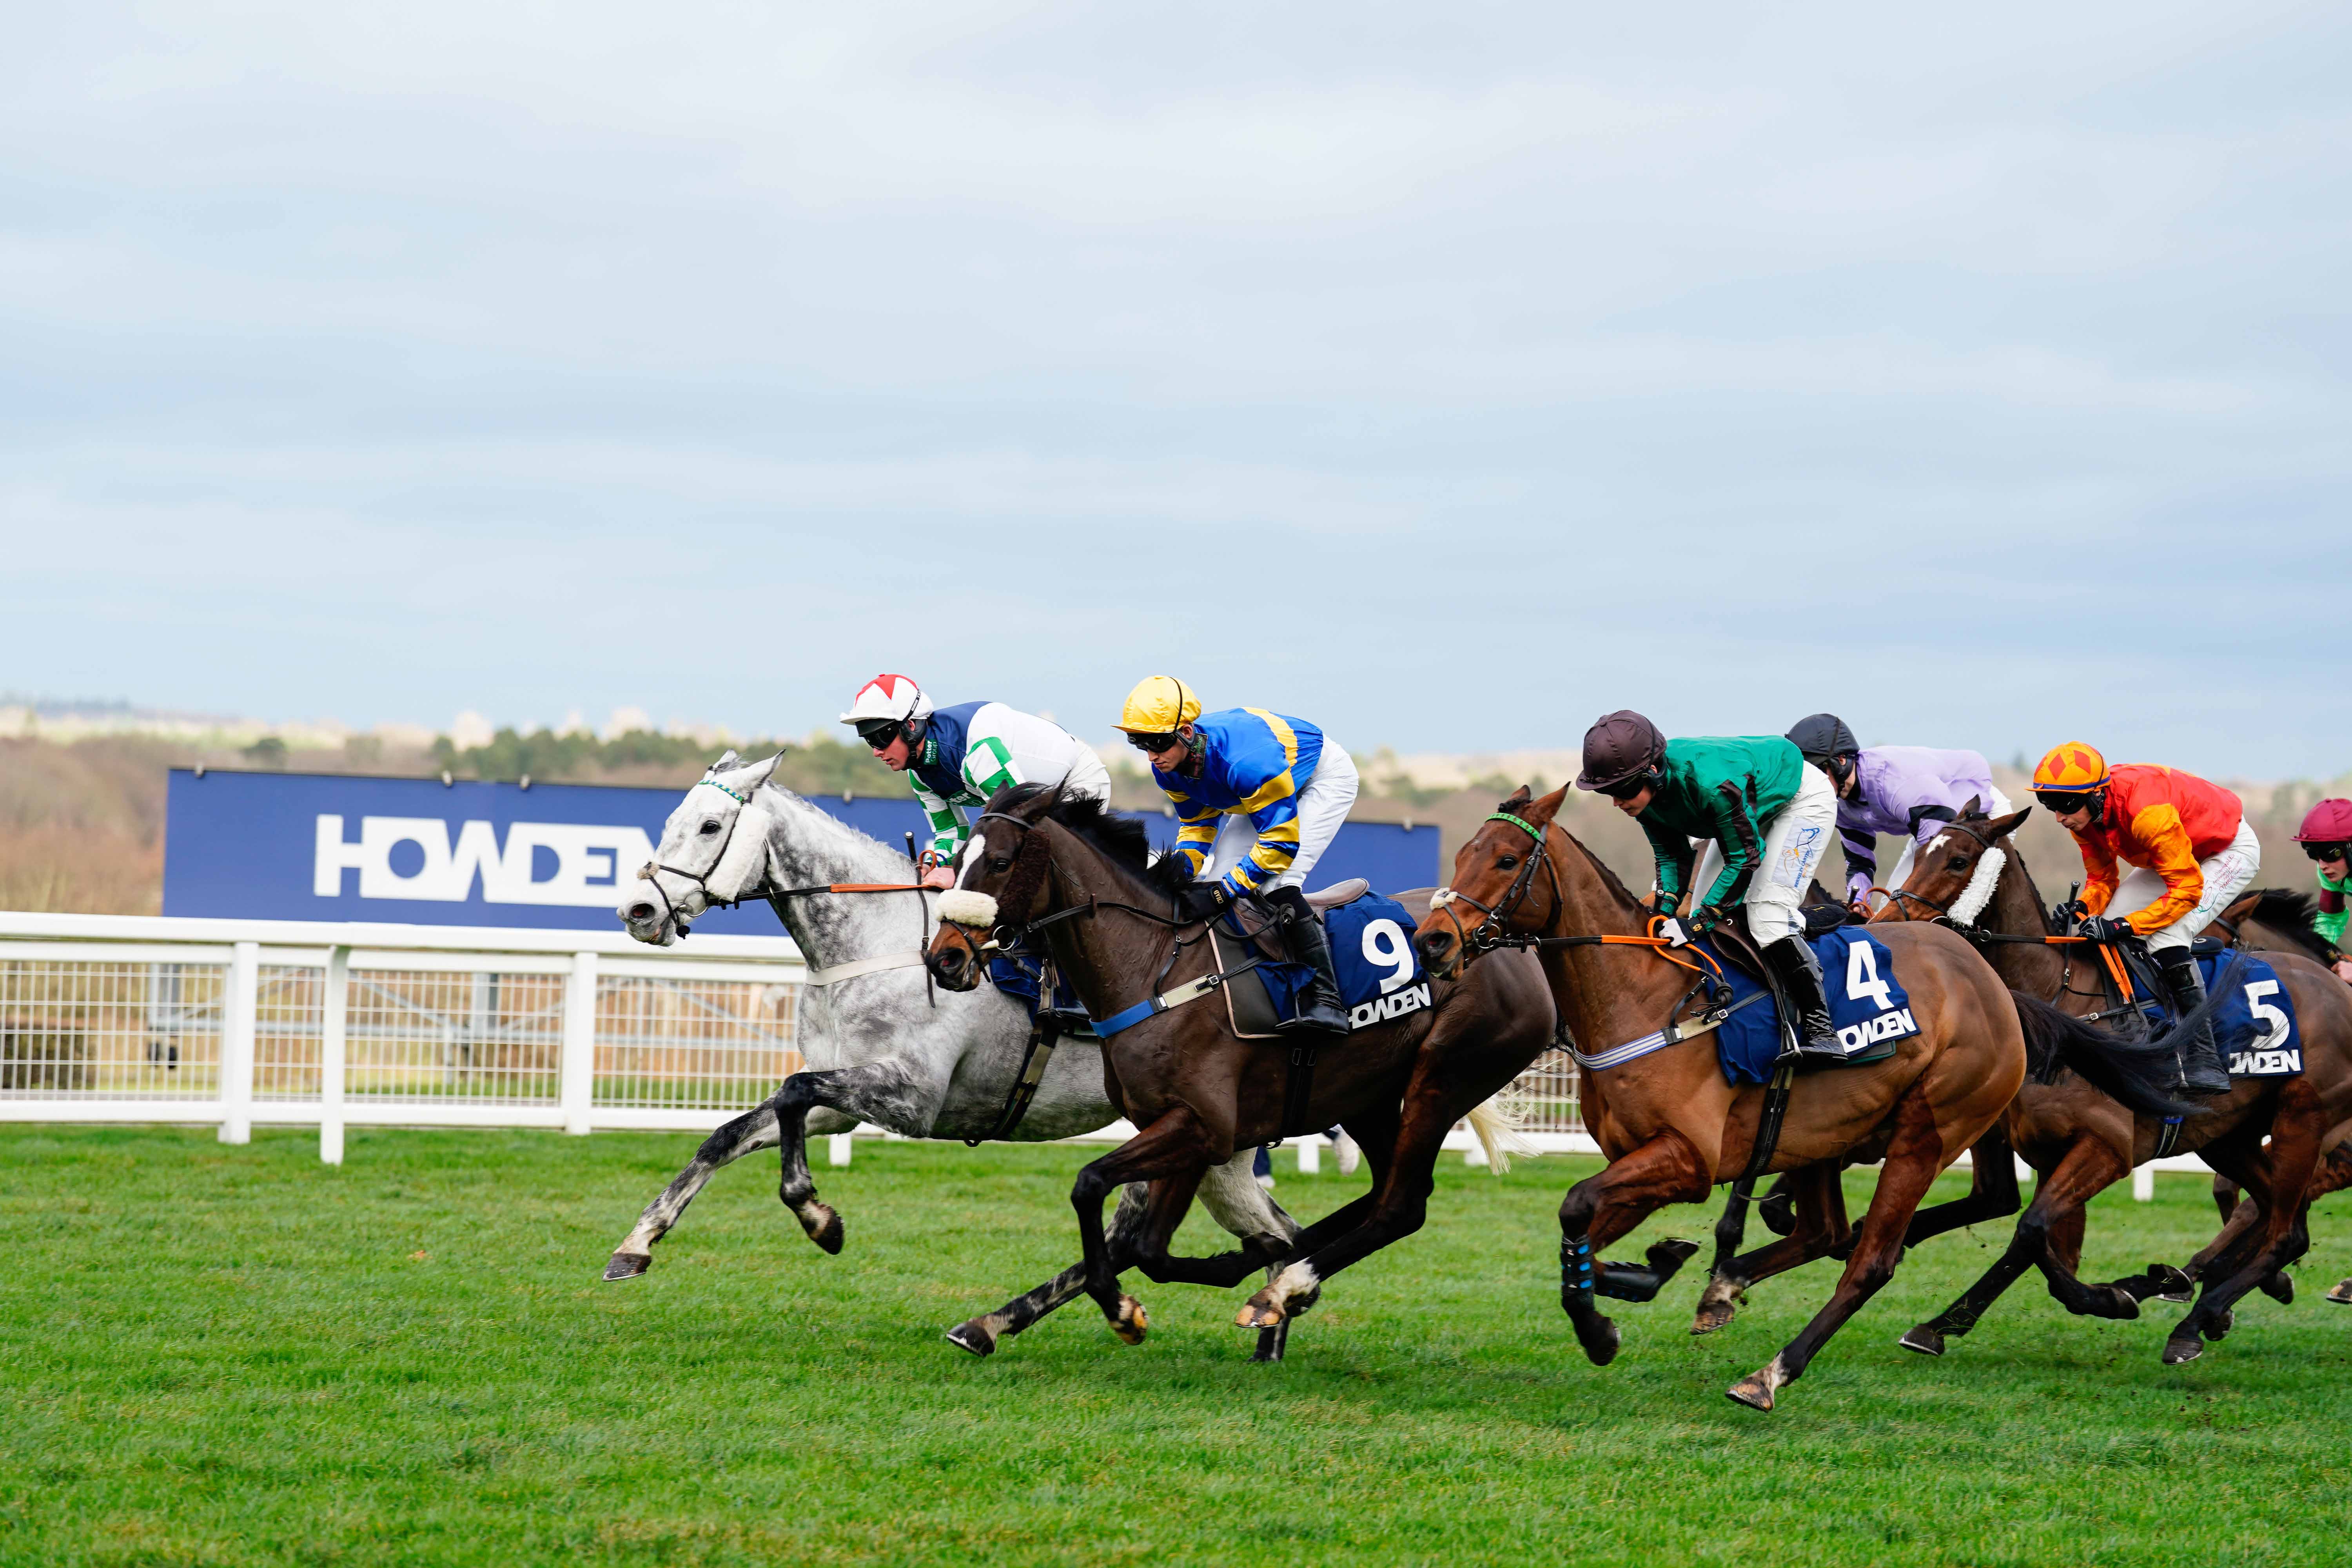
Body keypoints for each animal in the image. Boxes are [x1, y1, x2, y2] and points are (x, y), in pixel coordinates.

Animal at [922, 785, 1562, 1363]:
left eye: (1001, 862)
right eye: (958, 860)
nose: (944, 957)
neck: (1155, 966)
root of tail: (1510, 947)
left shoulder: (1204, 1126)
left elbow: (1095, 1192)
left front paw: (1134, 1306)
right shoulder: (1184, 1130)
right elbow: (1145, 1244)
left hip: (1444, 1078)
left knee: (1402, 1206)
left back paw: (1283, 1286)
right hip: (1368, 1099)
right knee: (1382, 1195)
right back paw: (1288, 1267)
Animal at [1402, 785, 2173, 1410]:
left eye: (1506, 861)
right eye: (1464, 852)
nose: (1433, 941)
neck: (1642, 998)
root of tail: (1997, 989)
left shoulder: (1687, 1161)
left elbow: (1575, 1207)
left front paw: (1604, 1322)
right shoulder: (1641, 1159)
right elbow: (1581, 1237)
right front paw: (1638, 1279)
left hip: (1927, 1132)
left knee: (1872, 1259)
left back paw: (1772, 1372)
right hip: (1819, 1137)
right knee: (1827, 1232)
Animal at [1863, 799, 2352, 1363]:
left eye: (1959, 861)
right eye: (1921, 851)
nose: (1883, 924)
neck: (2059, 1002)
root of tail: (2337, 989)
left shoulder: (2108, 1149)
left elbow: (2032, 1233)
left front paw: (2118, 1296)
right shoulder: (2041, 1151)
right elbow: (2038, 1244)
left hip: (2302, 1121)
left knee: (2285, 1232)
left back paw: (2194, 1322)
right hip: (2231, 1138)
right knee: (2280, 1217)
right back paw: (2207, 1299)